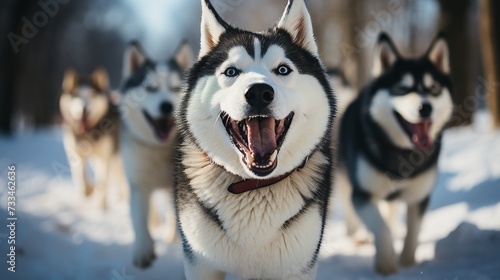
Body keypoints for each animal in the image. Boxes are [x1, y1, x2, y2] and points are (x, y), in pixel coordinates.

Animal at [59, 67, 119, 208]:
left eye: (92, 95)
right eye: (76, 95)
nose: (84, 110)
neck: (88, 133)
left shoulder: (104, 158)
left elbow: (102, 183)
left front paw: (100, 208)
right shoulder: (76, 154)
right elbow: (81, 178)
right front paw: (88, 190)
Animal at [118, 41, 194, 266]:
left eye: (176, 88)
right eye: (150, 88)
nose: (167, 106)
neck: (159, 148)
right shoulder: (138, 184)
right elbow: (138, 218)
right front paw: (143, 248)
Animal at [176, 1, 336, 278]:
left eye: (283, 69)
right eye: (231, 71)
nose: (259, 92)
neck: (253, 185)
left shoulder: (297, 266)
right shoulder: (201, 263)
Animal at [340, 32, 454, 274]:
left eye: (433, 88)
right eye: (402, 88)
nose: (425, 107)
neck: (401, 153)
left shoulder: (419, 196)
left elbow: (413, 231)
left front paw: (408, 262)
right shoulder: (362, 195)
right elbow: (380, 228)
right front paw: (386, 265)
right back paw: (357, 235)